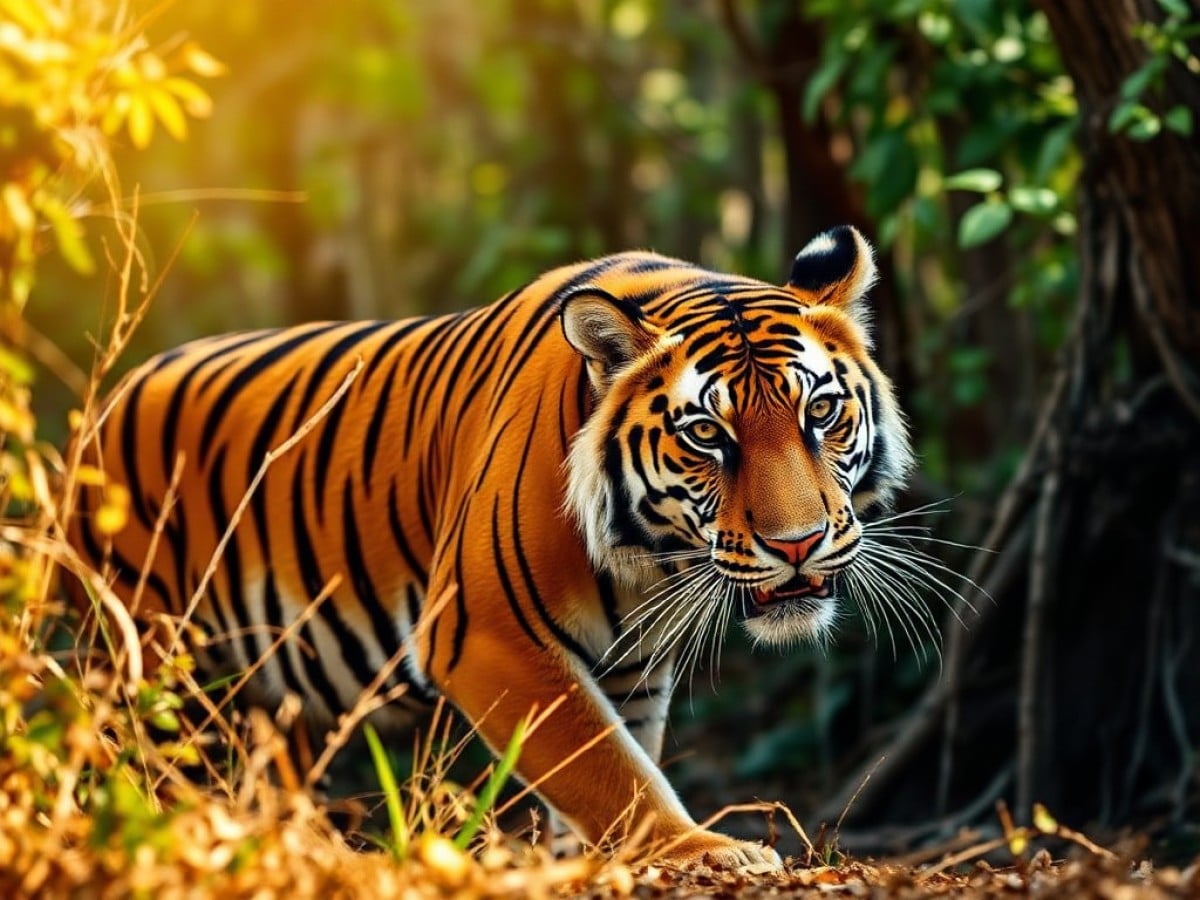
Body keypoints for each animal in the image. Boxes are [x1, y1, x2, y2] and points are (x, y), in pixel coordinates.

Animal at [67, 224, 912, 869]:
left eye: (820, 413)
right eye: (708, 434)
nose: (798, 544)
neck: (650, 561)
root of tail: (111, 395)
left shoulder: (633, 669)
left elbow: (615, 765)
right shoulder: (485, 636)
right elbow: (608, 768)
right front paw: (703, 849)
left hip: (271, 704)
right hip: (147, 667)